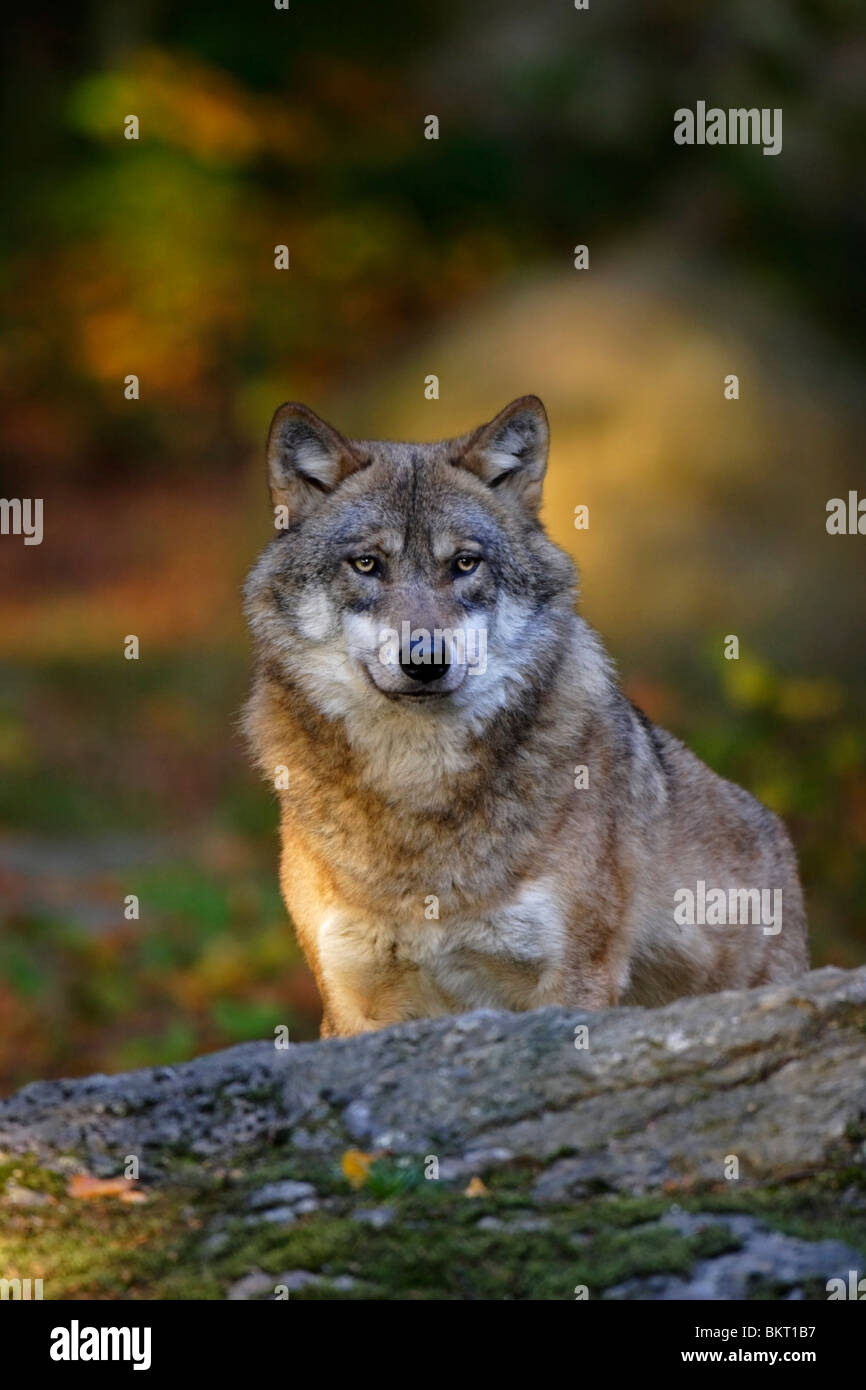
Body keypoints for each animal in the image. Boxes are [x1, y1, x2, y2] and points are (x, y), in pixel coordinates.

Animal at [241, 397, 806, 1039]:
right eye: (366, 564)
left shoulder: (575, 981)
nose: (425, 661)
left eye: (465, 563)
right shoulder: (352, 1004)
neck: (417, 789)